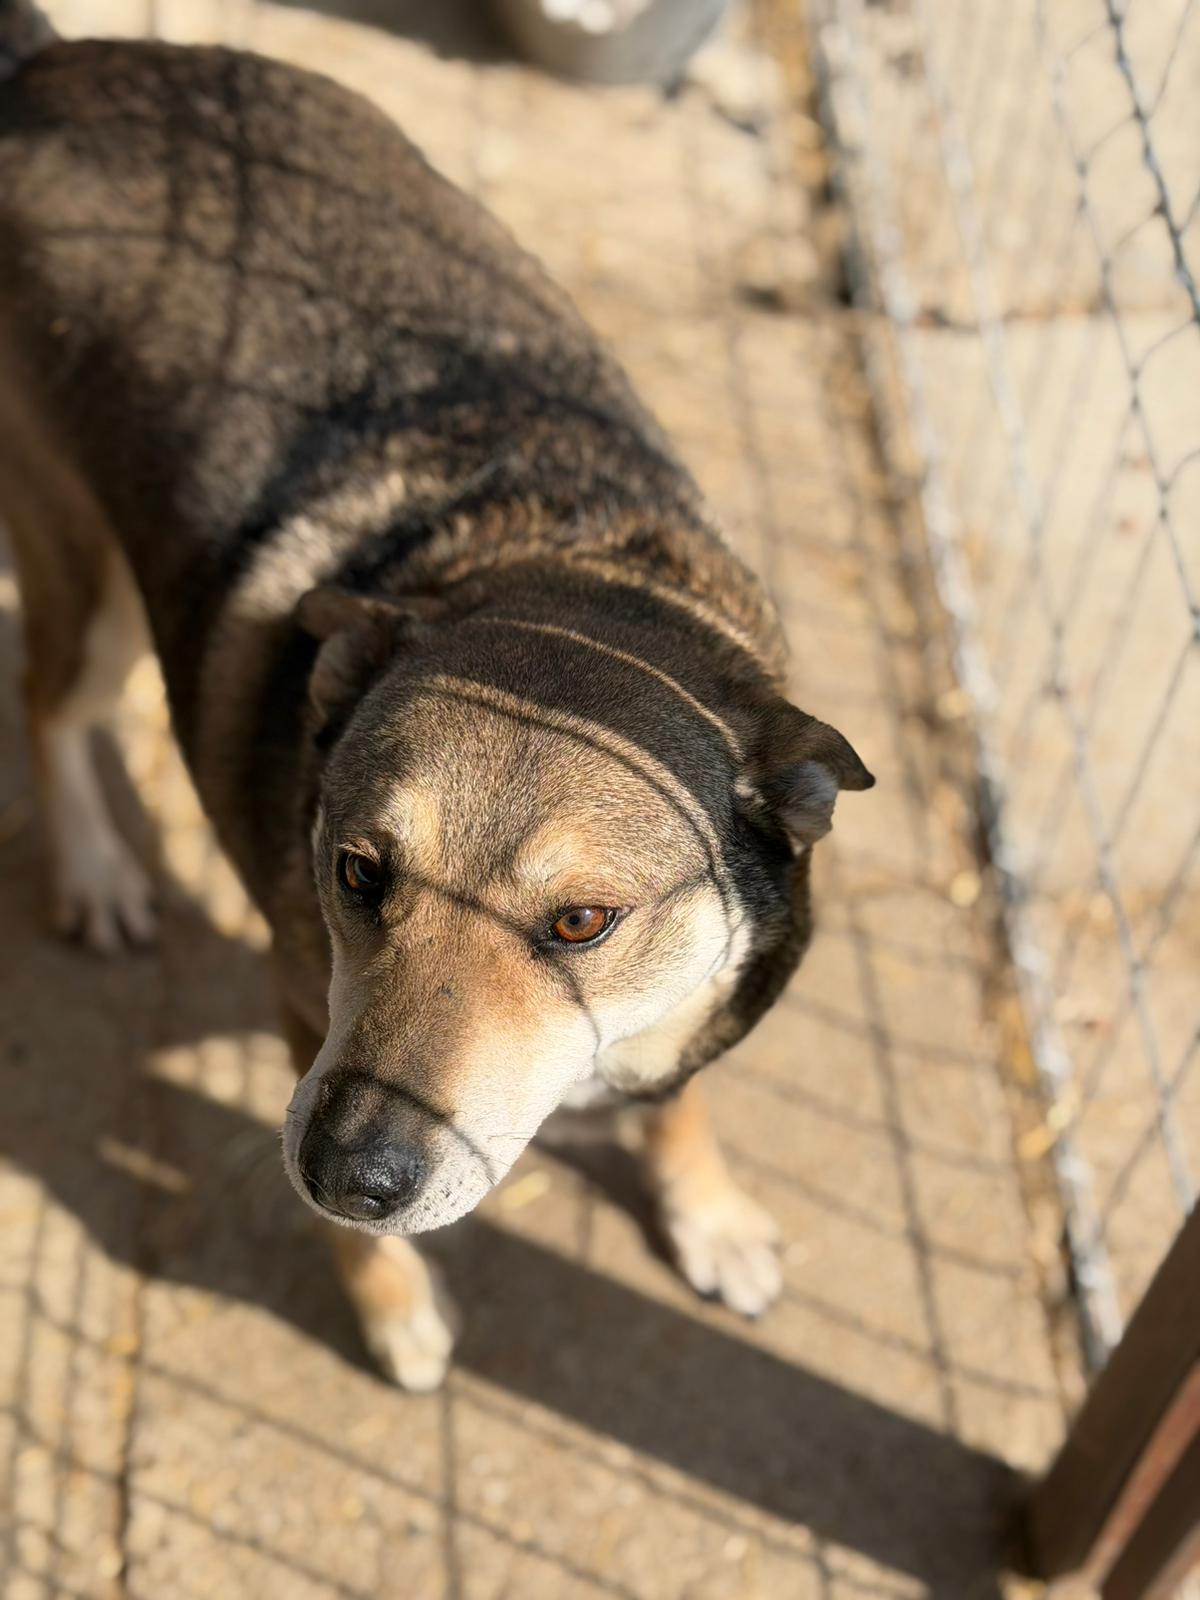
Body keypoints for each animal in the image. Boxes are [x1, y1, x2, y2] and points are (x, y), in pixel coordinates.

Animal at [0, 2, 873, 1391]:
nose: (351, 1177)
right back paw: (93, 873)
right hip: (91, 593)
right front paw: (394, 1309)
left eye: (583, 922)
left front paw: (712, 1215)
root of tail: (50, 65)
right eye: (358, 872)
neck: (564, 568)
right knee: (50, 706)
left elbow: (676, 1091)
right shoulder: (297, 1005)